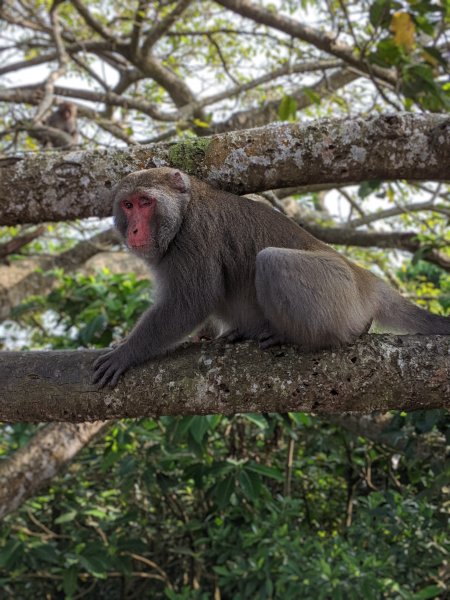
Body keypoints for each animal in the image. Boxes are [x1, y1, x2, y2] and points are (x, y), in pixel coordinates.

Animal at [92, 166, 450, 386]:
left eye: (145, 202)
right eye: (127, 205)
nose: (134, 230)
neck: (183, 213)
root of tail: (366, 280)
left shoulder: (196, 235)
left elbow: (190, 302)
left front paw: (126, 352)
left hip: (338, 289)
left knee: (272, 261)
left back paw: (295, 335)